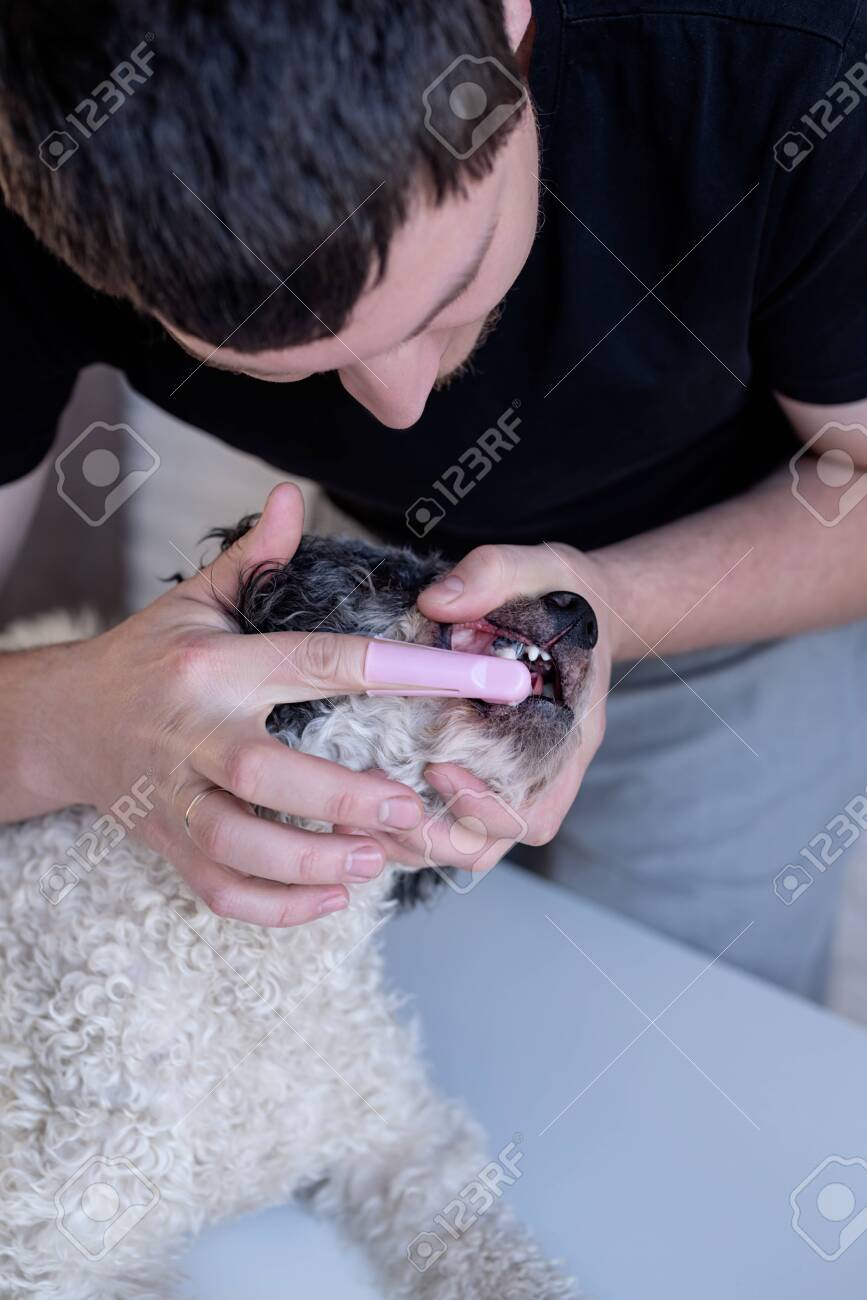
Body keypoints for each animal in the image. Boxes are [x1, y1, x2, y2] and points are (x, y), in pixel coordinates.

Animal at [0, 522, 597, 1294]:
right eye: (396, 574)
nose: (582, 609)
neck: (256, 970)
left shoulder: (406, 1143)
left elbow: (501, 1259)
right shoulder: (54, 1251)